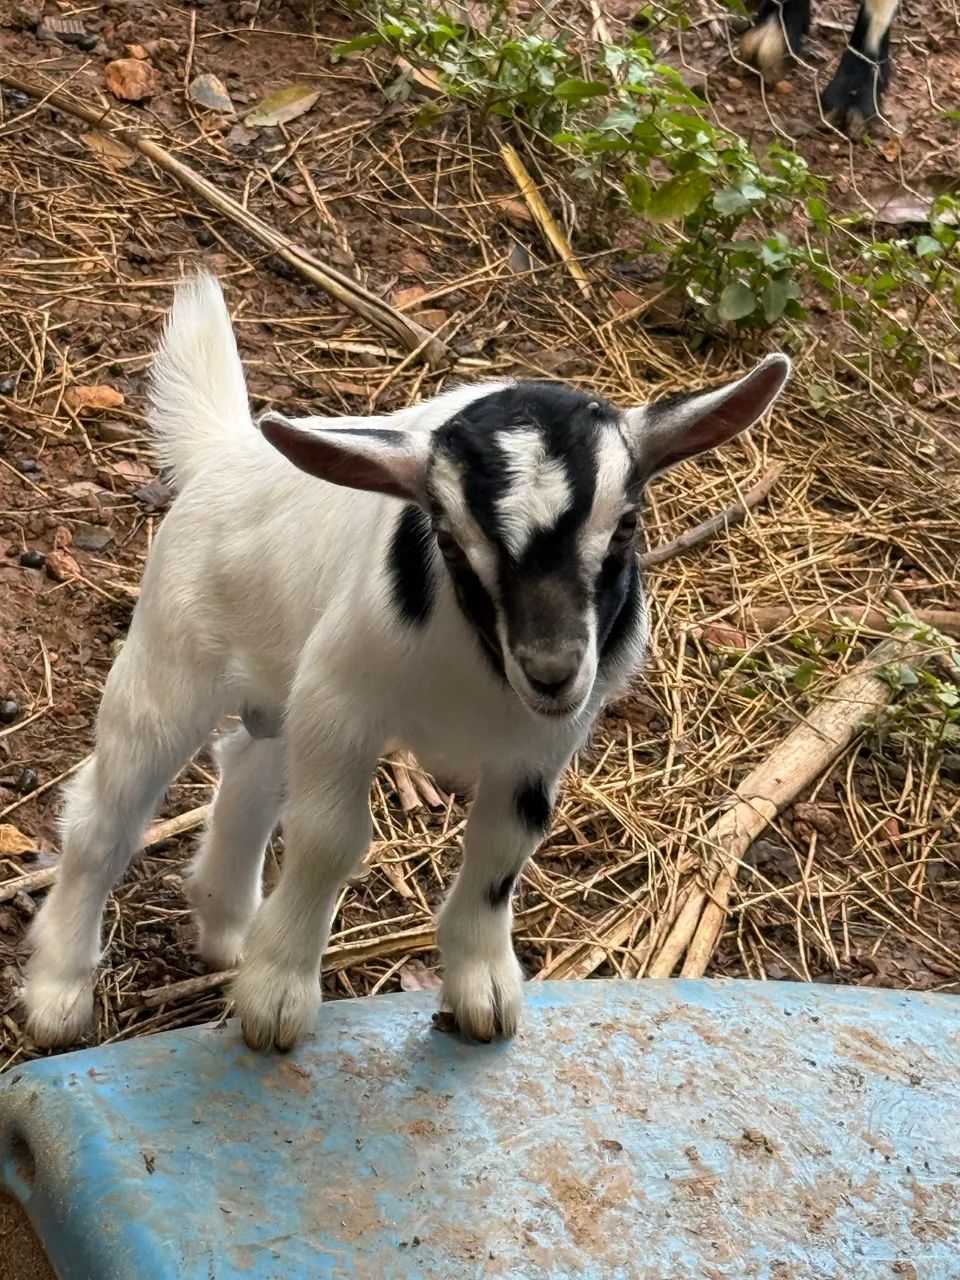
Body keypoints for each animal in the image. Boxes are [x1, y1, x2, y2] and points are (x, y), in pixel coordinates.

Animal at [22, 275, 790, 1053]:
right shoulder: (342, 701)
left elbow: (502, 851)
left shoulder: (540, 745)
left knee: (248, 766)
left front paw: (484, 989)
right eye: (447, 538)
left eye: (629, 523)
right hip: (173, 657)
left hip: (283, 687)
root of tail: (227, 450)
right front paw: (278, 997)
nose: (551, 669)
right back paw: (58, 990)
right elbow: (329, 839)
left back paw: (227, 928)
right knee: (106, 812)